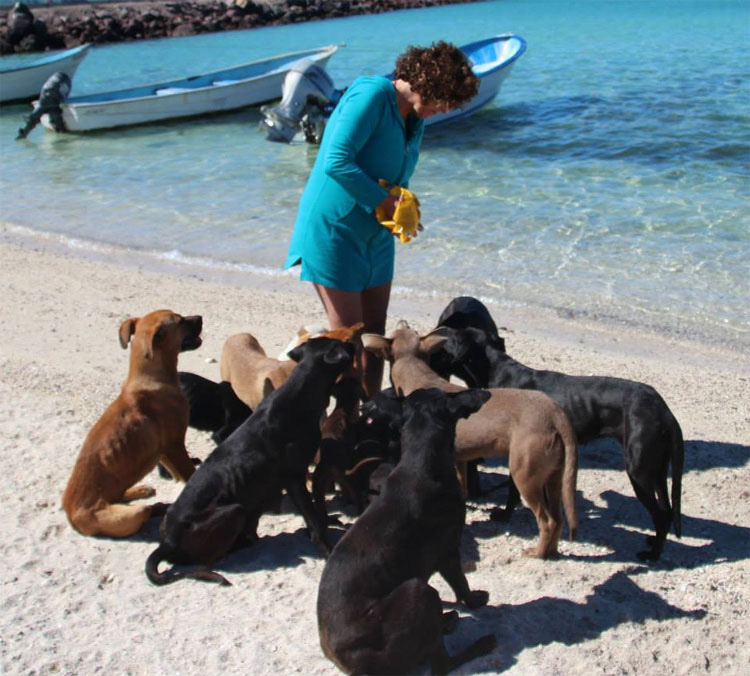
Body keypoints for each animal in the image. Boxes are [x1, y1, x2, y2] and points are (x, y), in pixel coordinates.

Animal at [62, 310, 203, 540]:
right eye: (180, 320)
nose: (200, 317)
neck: (151, 377)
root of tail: (71, 515)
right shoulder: (175, 445)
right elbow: (190, 474)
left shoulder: (165, 451)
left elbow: (180, 475)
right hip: (126, 515)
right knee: (145, 510)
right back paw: (160, 506)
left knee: (120, 495)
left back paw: (138, 491)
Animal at [149, 338, 358, 588]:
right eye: (341, 344)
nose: (354, 343)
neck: (299, 397)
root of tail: (167, 542)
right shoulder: (294, 477)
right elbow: (313, 519)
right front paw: (325, 546)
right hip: (235, 511)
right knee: (208, 557)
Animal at [318, 388, 500, 672]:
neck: (421, 463)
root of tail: (349, 665)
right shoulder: (448, 551)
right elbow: (462, 584)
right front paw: (475, 601)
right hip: (418, 592)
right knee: (442, 664)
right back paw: (479, 643)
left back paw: (447, 619)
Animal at [362, 322, 580, 560]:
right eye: (408, 329)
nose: (402, 321)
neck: (417, 373)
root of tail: (555, 413)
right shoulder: (459, 460)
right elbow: (463, 492)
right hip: (553, 477)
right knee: (558, 519)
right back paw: (551, 552)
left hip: (525, 474)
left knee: (547, 521)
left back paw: (537, 553)